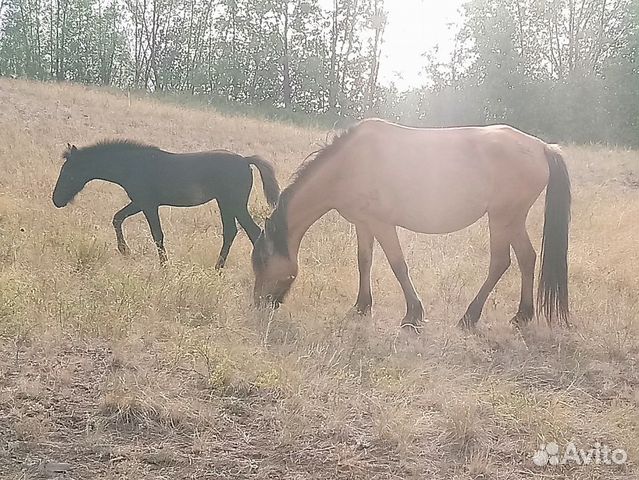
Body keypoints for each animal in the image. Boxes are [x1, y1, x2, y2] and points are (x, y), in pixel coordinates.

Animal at [252, 120, 572, 330]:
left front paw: (413, 314)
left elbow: (398, 265)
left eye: (263, 261)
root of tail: (542, 147)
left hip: (502, 217)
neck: (349, 164)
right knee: (527, 258)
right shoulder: (363, 224)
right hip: (512, 219)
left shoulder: (382, 224)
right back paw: (522, 315)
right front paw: (361, 307)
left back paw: (469, 317)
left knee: (500, 262)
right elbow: (364, 261)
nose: (260, 303)